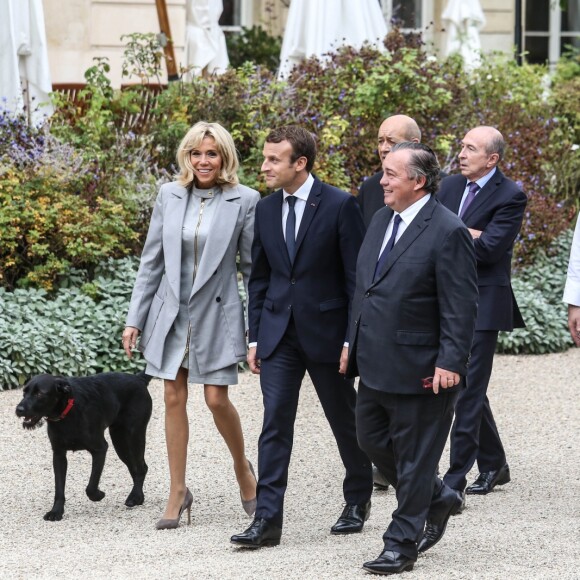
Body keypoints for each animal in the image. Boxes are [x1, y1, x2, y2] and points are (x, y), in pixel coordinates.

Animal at [15, 372, 153, 520]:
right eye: (24, 392)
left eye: (40, 394)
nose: (19, 410)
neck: (67, 413)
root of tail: (139, 378)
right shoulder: (58, 455)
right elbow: (59, 488)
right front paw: (56, 511)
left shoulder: (100, 449)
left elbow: (91, 487)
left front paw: (99, 495)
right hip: (121, 442)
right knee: (135, 468)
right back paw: (138, 497)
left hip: (132, 437)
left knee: (141, 468)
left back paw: (135, 497)